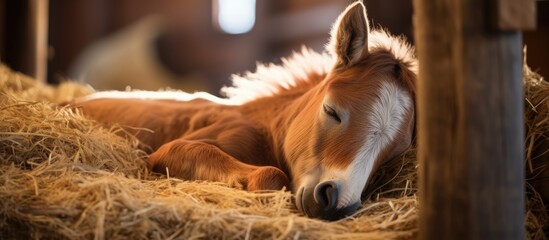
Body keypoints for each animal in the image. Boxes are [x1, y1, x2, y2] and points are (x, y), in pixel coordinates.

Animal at [71, 1, 416, 220]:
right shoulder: (170, 151)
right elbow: (270, 174)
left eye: (395, 151)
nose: (335, 203)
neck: (266, 128)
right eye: (332, 111)